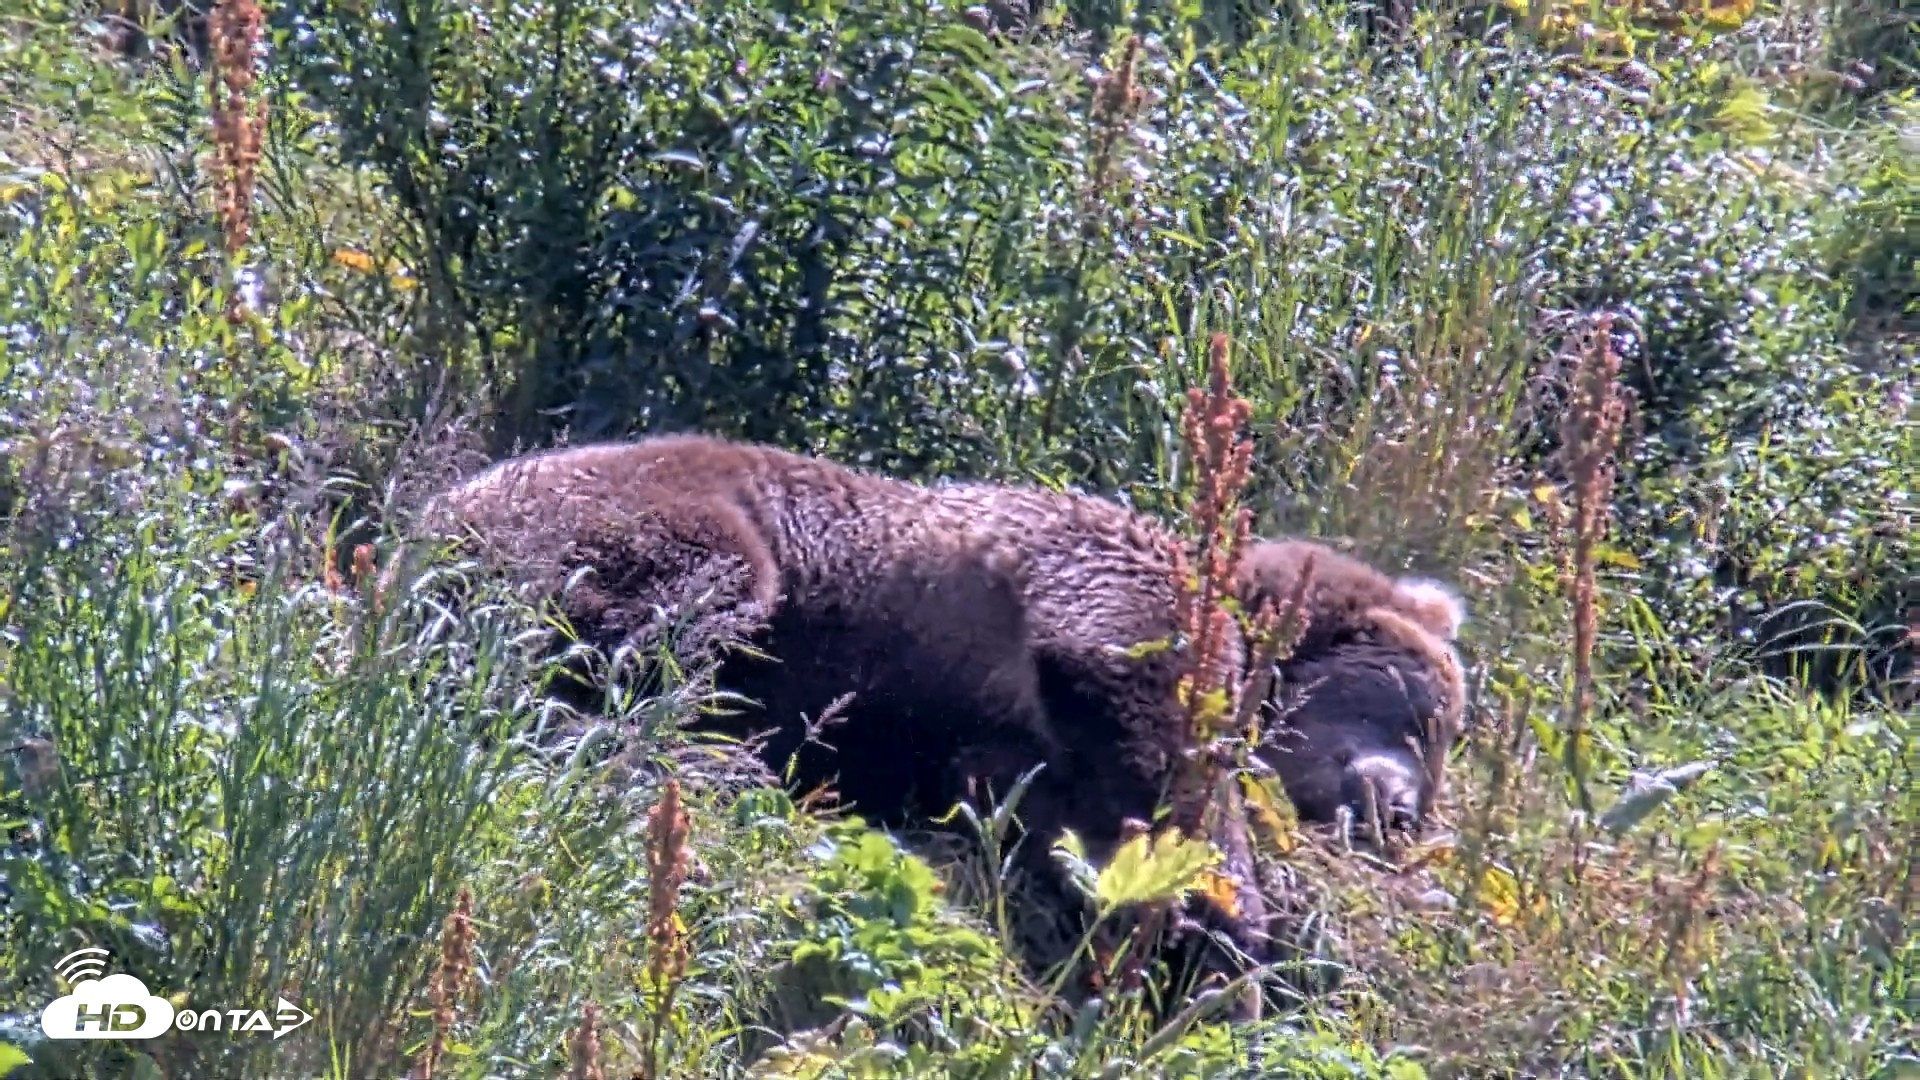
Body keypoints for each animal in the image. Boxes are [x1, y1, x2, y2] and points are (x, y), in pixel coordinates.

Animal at [408, 433, 1468, 1007]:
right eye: (1428, 720)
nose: (1404, 815)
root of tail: (429, 512)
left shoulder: (985, 739)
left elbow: (1023, 796)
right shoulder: (1107, 594)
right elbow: (1144, 730)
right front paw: (1219, 921)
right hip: (654, 519)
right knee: (671, 620)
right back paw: (719, 755)